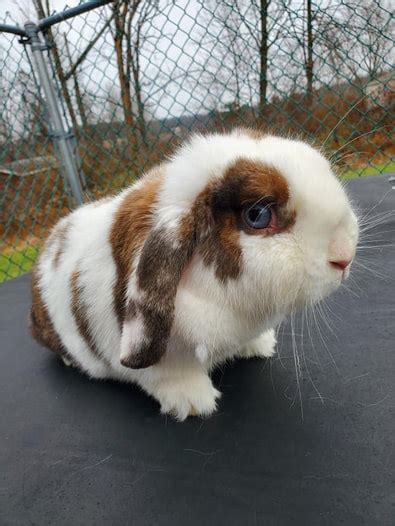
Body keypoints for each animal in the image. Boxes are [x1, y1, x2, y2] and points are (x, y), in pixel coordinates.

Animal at [30, 130, 358, 422]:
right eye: (257, 215)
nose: (345, 256)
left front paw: (261, 345)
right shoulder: (158, 362)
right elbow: (166, 376)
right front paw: (194, 403)